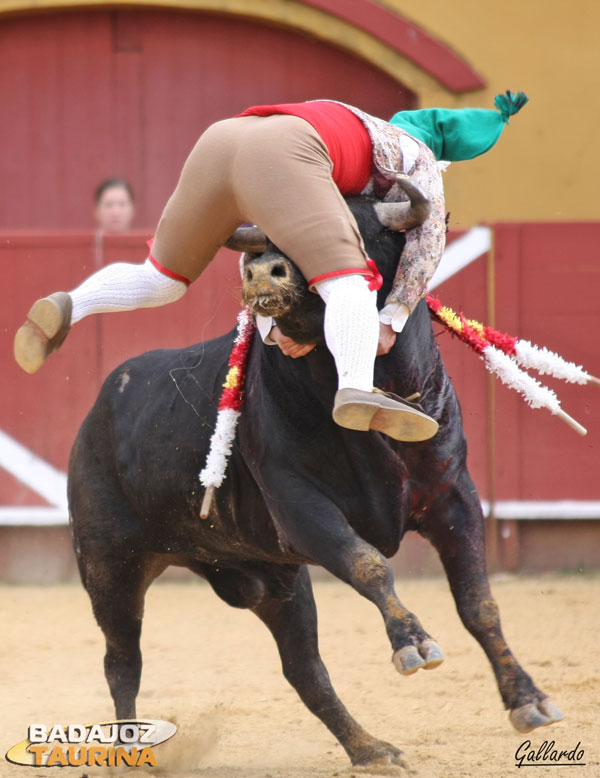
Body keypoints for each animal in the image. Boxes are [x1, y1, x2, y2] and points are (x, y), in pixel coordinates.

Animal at [70, 197, 564, 768]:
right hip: (112, 568)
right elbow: (370, 565)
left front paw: (529, 700)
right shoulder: (302, 508)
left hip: (278, 582)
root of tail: (97, 411)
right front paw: (413, 643)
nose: (262, 270)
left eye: (351, 235)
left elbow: (479, 604)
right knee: (122, 661)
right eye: (265, 236)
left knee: (304, 669)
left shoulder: (454, 497)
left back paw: (370, 749)